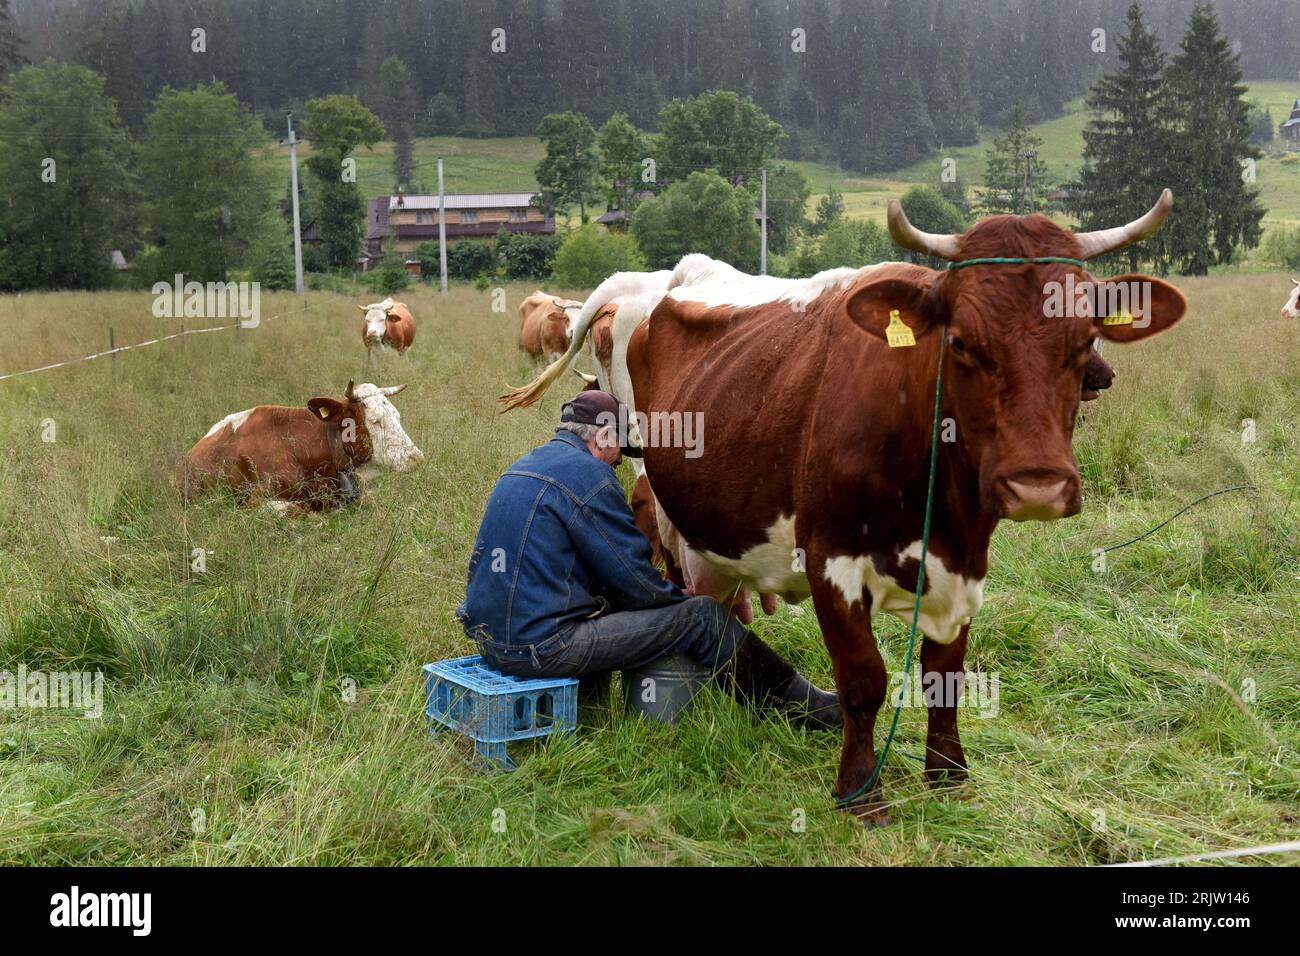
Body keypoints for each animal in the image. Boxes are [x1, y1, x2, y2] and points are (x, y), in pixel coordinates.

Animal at [504, 192, 1190, 822]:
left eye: (1085, 339)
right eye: (961, 342)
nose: (1038, 486)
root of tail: (654, 279)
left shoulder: (966, 562)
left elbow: (945, 673)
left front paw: (948, 777)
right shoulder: (831, 560)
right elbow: (864, 680)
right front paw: (860, 794)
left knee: (721, 608)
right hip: (654, 486)